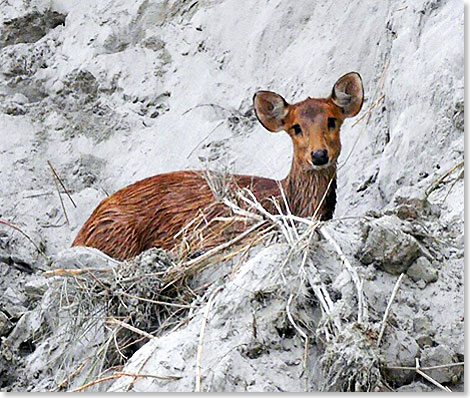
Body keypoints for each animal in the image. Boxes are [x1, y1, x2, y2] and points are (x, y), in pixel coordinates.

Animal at [71, 72, 364, 262]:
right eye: (296, 128)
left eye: (332, 121)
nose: (319, 155)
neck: (286, 201)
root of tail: (80, 235)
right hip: (118, 235)